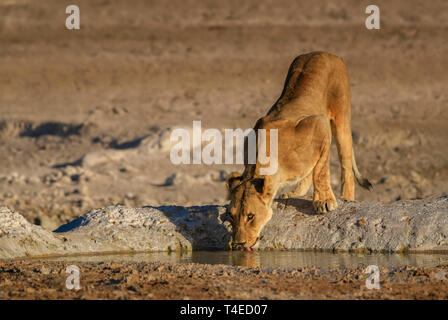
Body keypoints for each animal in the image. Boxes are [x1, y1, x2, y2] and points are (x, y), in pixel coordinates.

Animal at [228, 51, 372, 251]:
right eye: (231, 216)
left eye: (250, 216)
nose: (237, 244)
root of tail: (325, 53)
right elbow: (313, 170)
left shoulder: (319, 124)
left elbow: (320, 171)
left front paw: (324, 201)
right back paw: (295, 193)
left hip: (341, 117)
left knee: (346, 167)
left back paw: (347, 197)